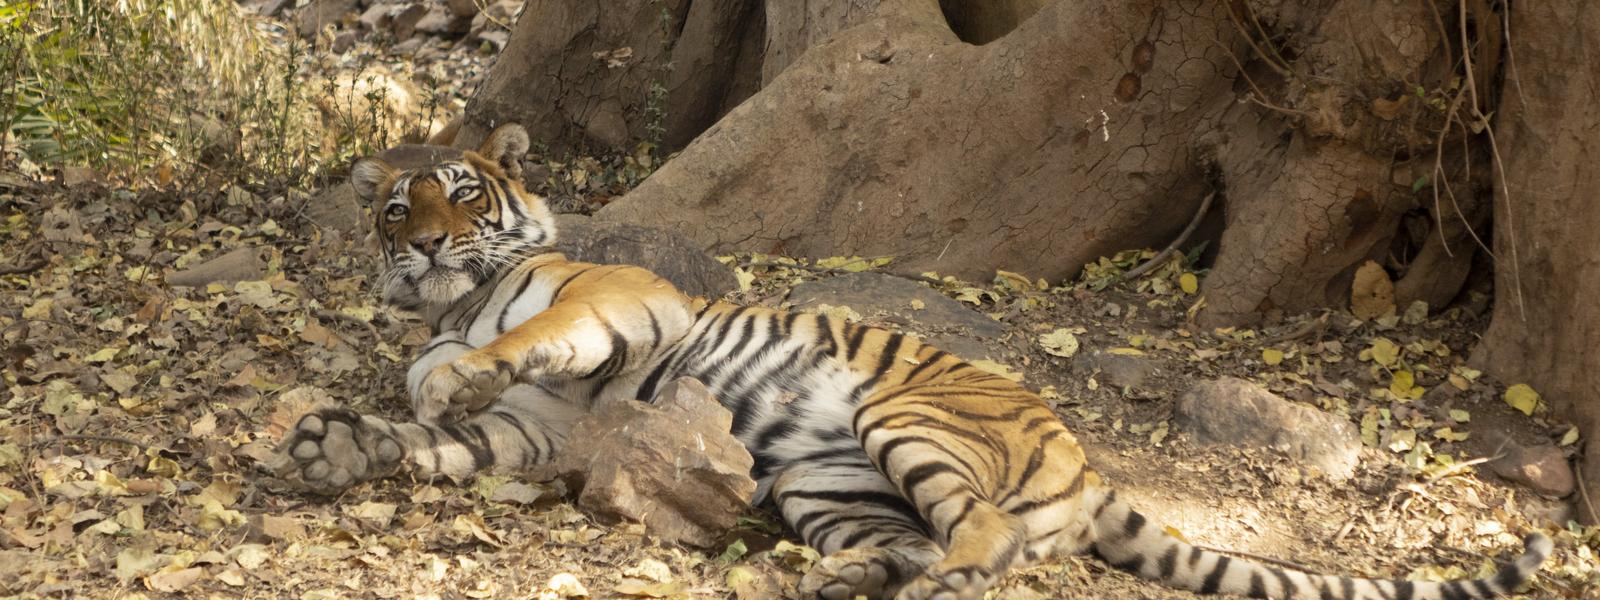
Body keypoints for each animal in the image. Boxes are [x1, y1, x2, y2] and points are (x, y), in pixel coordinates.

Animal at [272, 123, 1551, 600]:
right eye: (395, 206)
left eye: (465, 193)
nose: (420, 243)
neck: (447, 307)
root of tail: (1091, 470)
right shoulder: (534, 432)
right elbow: (427, 438)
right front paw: (333, 449)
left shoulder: (615, 300)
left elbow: (516, 339)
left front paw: (451, 370)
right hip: (823, 479)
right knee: (922, 542)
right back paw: (840, 578)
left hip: (906, 424)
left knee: (985, 546)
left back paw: (918, 579)